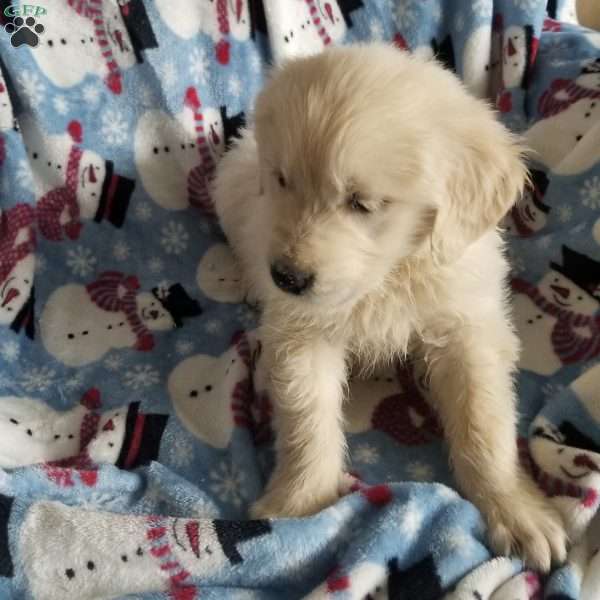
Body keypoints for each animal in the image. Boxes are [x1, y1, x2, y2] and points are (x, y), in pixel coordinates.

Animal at [212, 43, 568, 572]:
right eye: (282, 180)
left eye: (362, 203)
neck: (387, 276)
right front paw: (299, 505)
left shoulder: (466, 325)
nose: (286, 278)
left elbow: (484, 422)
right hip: (231, 185)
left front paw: (515, 509)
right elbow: (306, 418)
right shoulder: (302, 330)